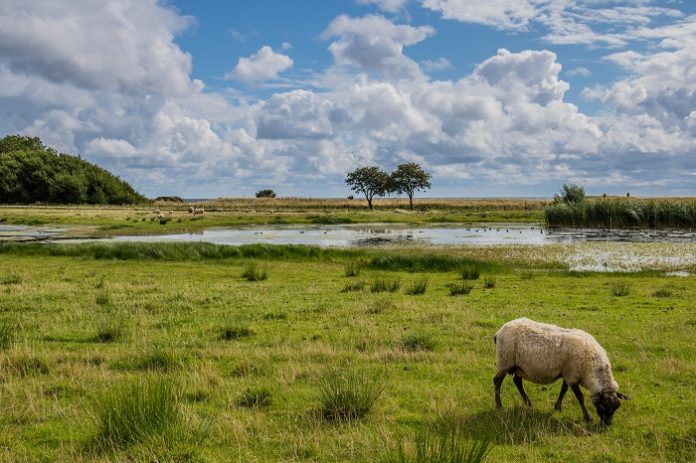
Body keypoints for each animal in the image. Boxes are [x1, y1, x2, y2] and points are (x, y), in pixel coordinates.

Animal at [490, 320, 632, 424]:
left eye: (616, 407)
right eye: (602, 407)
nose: (607, 424)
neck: (592, 368)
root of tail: (500, 331)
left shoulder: (567, 374)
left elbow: (563, 390)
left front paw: (557, 407)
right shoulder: (572, 376)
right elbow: (580, 397)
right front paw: (587, 417)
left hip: (519, 366)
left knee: (517, 381)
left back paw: (528, 403)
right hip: (505, 361)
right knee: (497, 381)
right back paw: (499, 406)